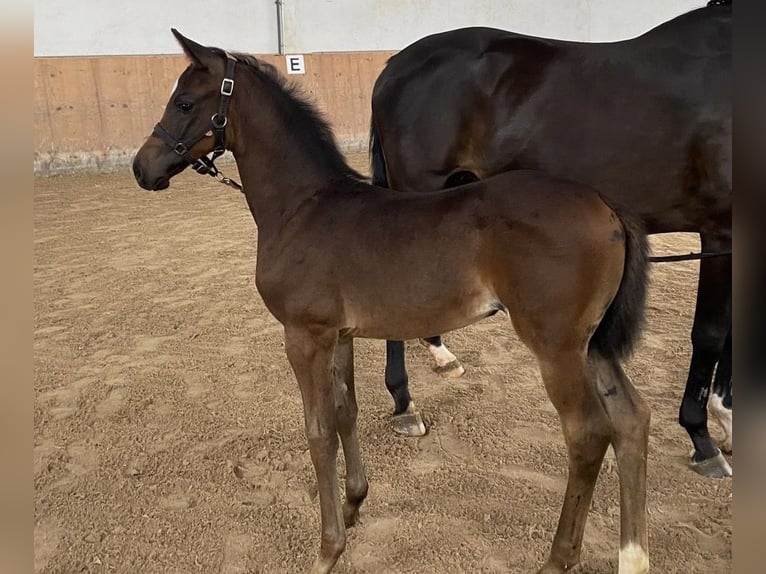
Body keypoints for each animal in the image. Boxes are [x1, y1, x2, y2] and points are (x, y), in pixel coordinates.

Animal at [132, 32, 656, 574]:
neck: (304, 207)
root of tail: (606, 205)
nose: (141, 168)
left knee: (588, 434)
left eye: (185, 102)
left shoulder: (303, 336)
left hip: (557, 346)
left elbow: (319, 431)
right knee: (631, 420)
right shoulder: (337, 334)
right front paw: (353, 503)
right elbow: (346, 411)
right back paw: (633, 556)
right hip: (592, 345)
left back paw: (559, 558)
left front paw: (328, 549)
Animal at [374, 0, 736, 480]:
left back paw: (438, 357)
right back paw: (404, 404)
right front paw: (703, 438)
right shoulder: (719, 229)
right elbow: (711, 333)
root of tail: (396, 65)